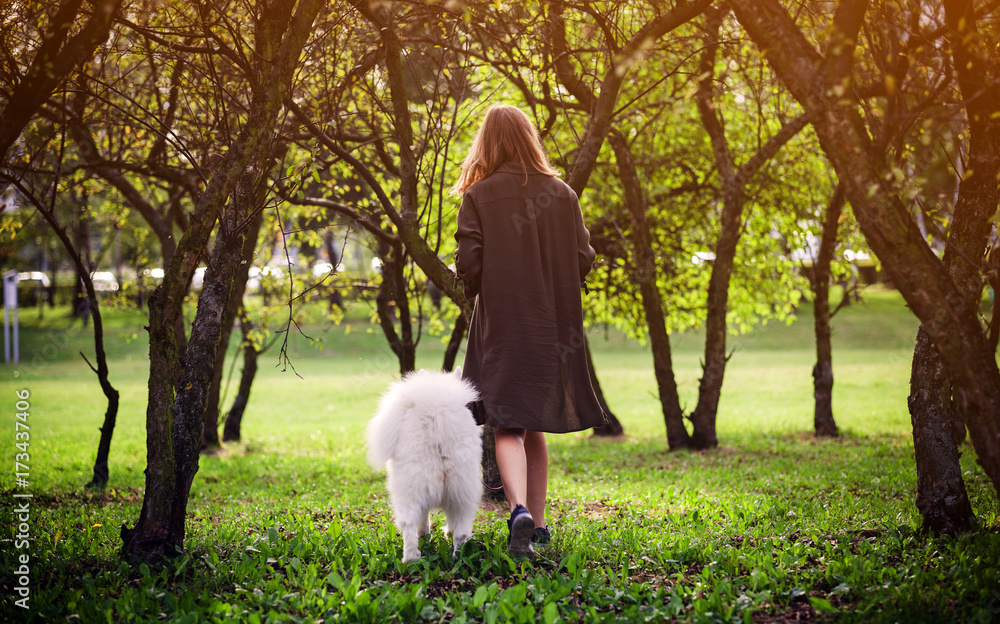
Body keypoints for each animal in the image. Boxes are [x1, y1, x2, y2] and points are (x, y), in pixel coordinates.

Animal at [366, 368, 482, 564]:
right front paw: (437, 535)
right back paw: (456, 558)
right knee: (460, 531)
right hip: (462, 491)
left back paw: (410, 559)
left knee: (408, 524)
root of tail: (438, 420)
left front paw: (424, 536)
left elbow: (423, 519)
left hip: (410, 489)